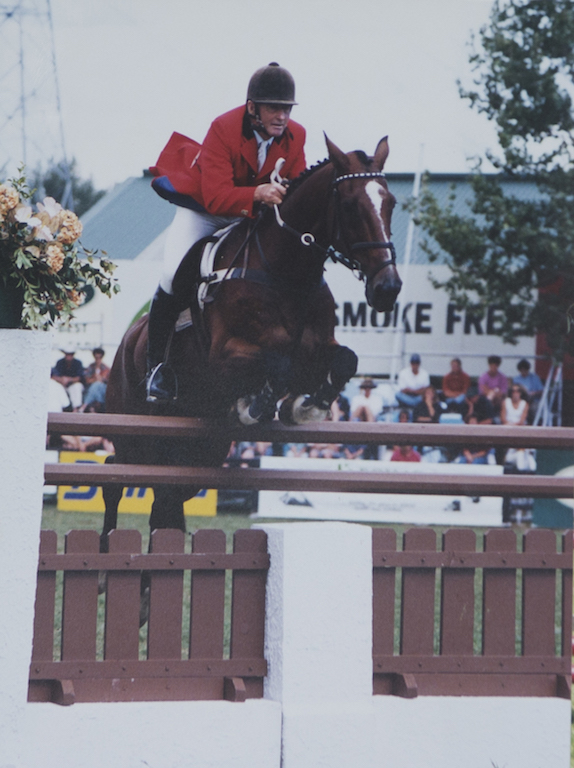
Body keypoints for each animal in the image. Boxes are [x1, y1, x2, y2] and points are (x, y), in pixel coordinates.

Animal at [101, 135, 402, 544]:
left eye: (391, 204)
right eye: (350, 205)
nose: (388, 288)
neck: (287, 273)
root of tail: (127, 341)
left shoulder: (320, 349)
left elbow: (345, 360)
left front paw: (307, 405)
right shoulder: (225, 359)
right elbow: (278, 363)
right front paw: (256, 405)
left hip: (203, 450)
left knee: (167, 497)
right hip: (134, 429)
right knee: (115, 473)